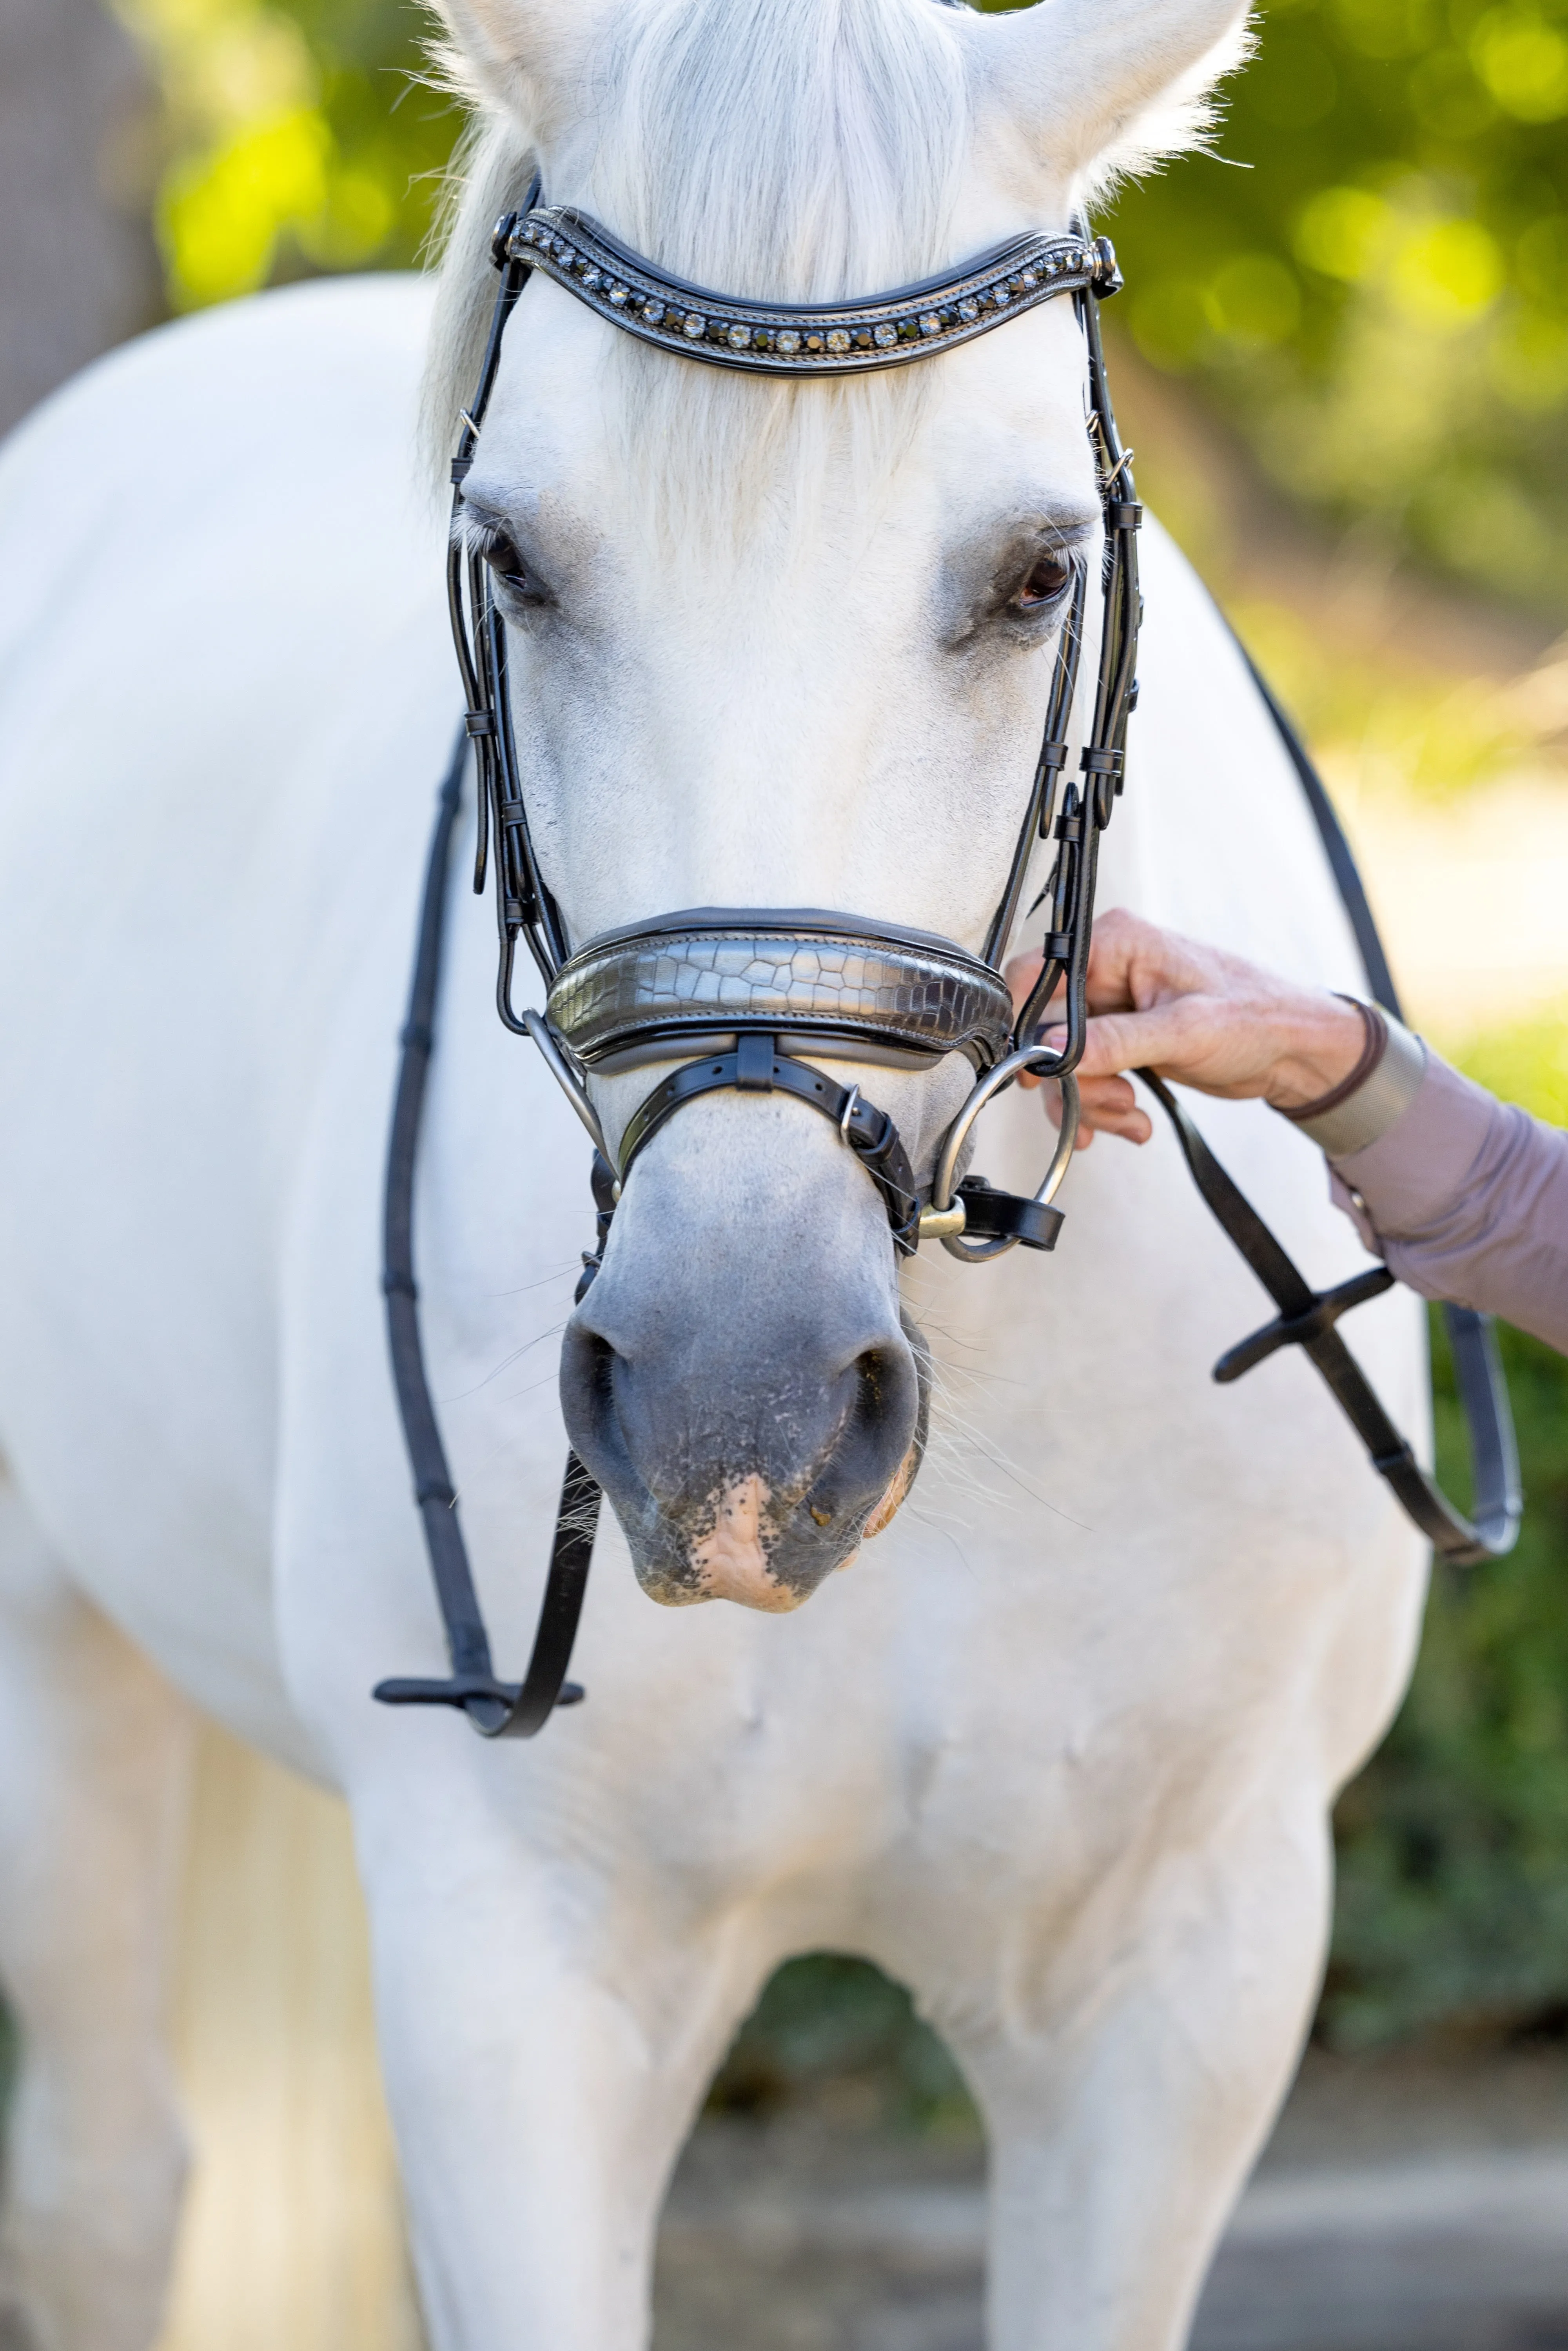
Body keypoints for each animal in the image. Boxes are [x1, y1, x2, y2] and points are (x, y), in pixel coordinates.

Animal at [0, 0, 1439, 2342]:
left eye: (1035, 573)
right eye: (514, 558)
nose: (731, 1409)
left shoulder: (1179, 1991)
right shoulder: (514, 1978)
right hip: (55, 1646)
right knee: (107, 2189)